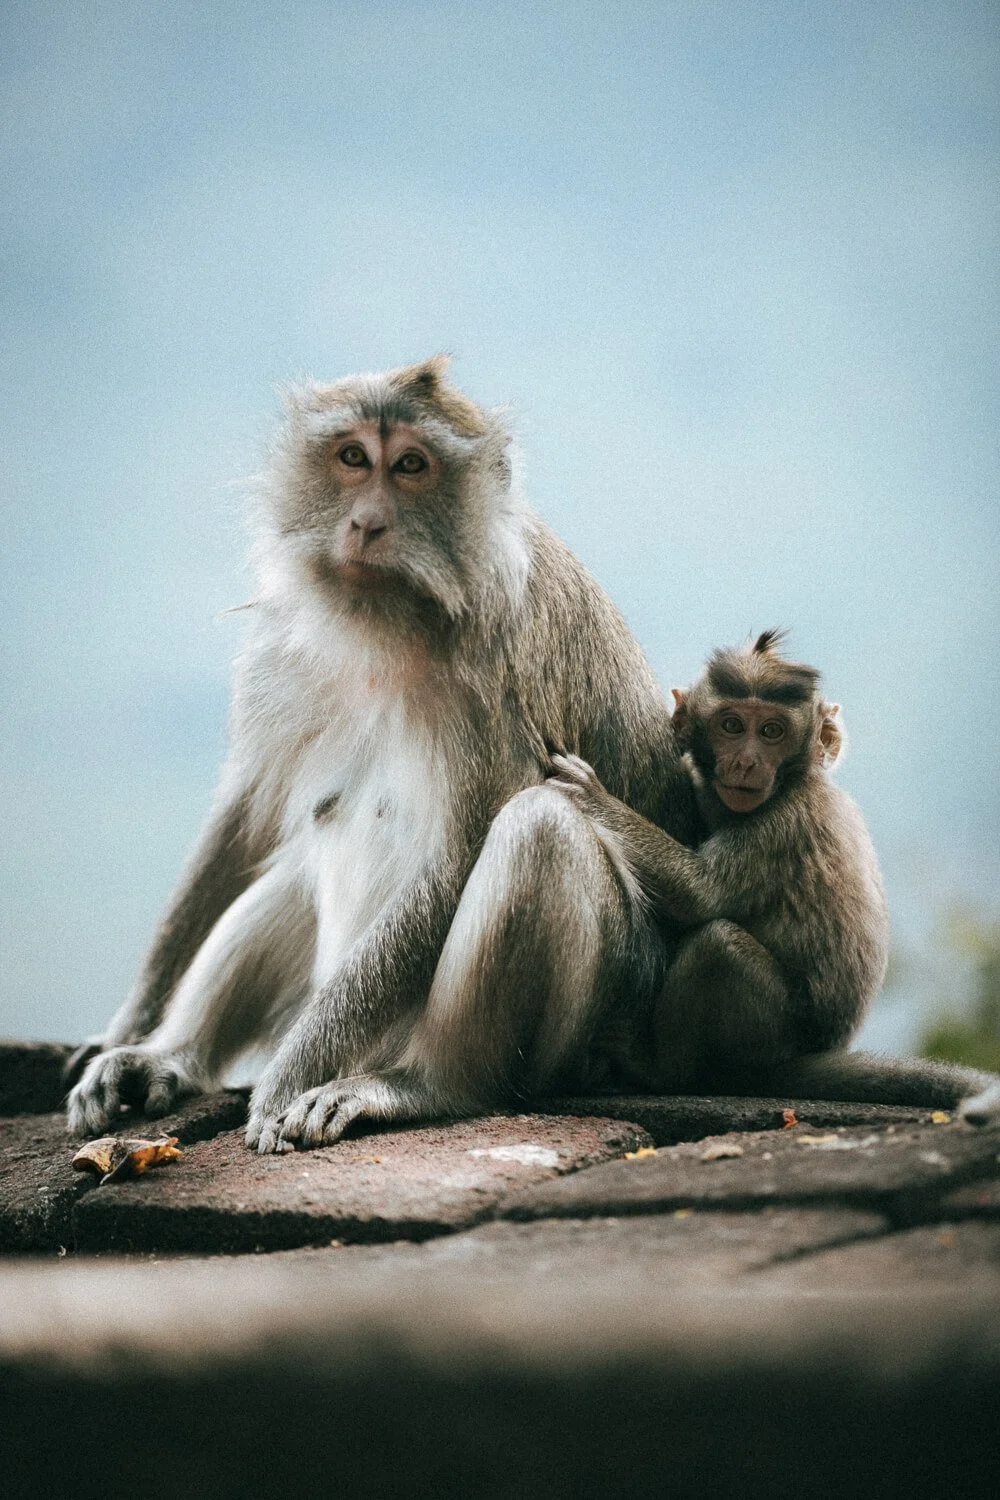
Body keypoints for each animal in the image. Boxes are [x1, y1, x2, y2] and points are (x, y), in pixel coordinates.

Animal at [66, 355, 702, 1151]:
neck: (393, 622)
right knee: (297, 875)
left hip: (576, 1034)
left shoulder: (492, 675)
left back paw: (423, 1086)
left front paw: (282, 1082)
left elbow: (457, 860)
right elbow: (245, 818)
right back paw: (170, 1058)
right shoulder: (282, 644)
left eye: (410, 466)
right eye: (351, 458)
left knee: (539, 830)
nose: (366, 522)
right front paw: (131, 1027)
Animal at [548, 631, 1000, 1121]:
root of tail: (806, 1053)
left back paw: (657, 1069)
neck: (794, 782)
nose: (747, 763)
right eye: (731, 726)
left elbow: (699, 894)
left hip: (777, 1031)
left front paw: (595, 798)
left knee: (719, 945)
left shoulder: (781, 825)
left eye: (771, 732)